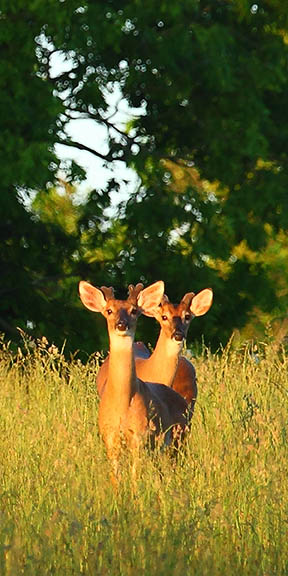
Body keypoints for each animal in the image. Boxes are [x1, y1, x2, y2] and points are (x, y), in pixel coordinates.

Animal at [78, 282, 189, 480]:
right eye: (108, 310)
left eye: (134, 310)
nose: (122, 325)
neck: (122, 405)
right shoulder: (110, 438)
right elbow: (115, 478)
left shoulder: (140, 437)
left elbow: (135, 478)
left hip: (178, 438)